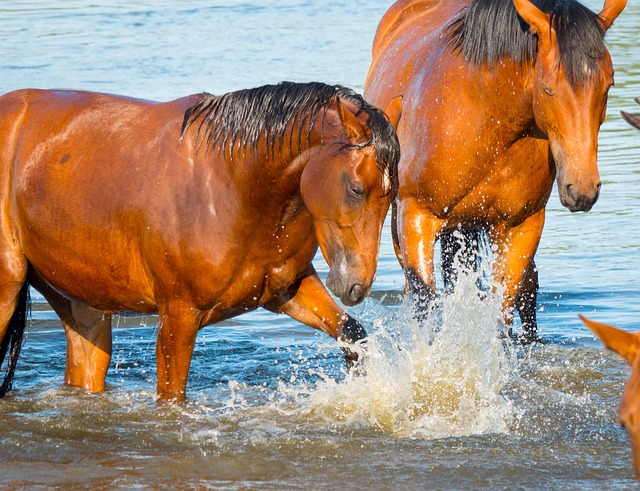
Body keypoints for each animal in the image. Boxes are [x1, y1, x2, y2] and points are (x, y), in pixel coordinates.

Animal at [0, 81, 400, 404]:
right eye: (356, 189)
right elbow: (172, 398)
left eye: (391, 195)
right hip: (8, 291)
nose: (356, 285)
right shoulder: (178, 317)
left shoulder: (286, 291)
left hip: (81, 305)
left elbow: (352, 334)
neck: (234, 184)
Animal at [364, 0, 624, 342]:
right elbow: (425, 307)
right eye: (548, 89)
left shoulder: (522, 227)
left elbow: (504, 311)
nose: (582, 190)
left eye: (608, 85)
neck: (487, 120)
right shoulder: (416, 216)